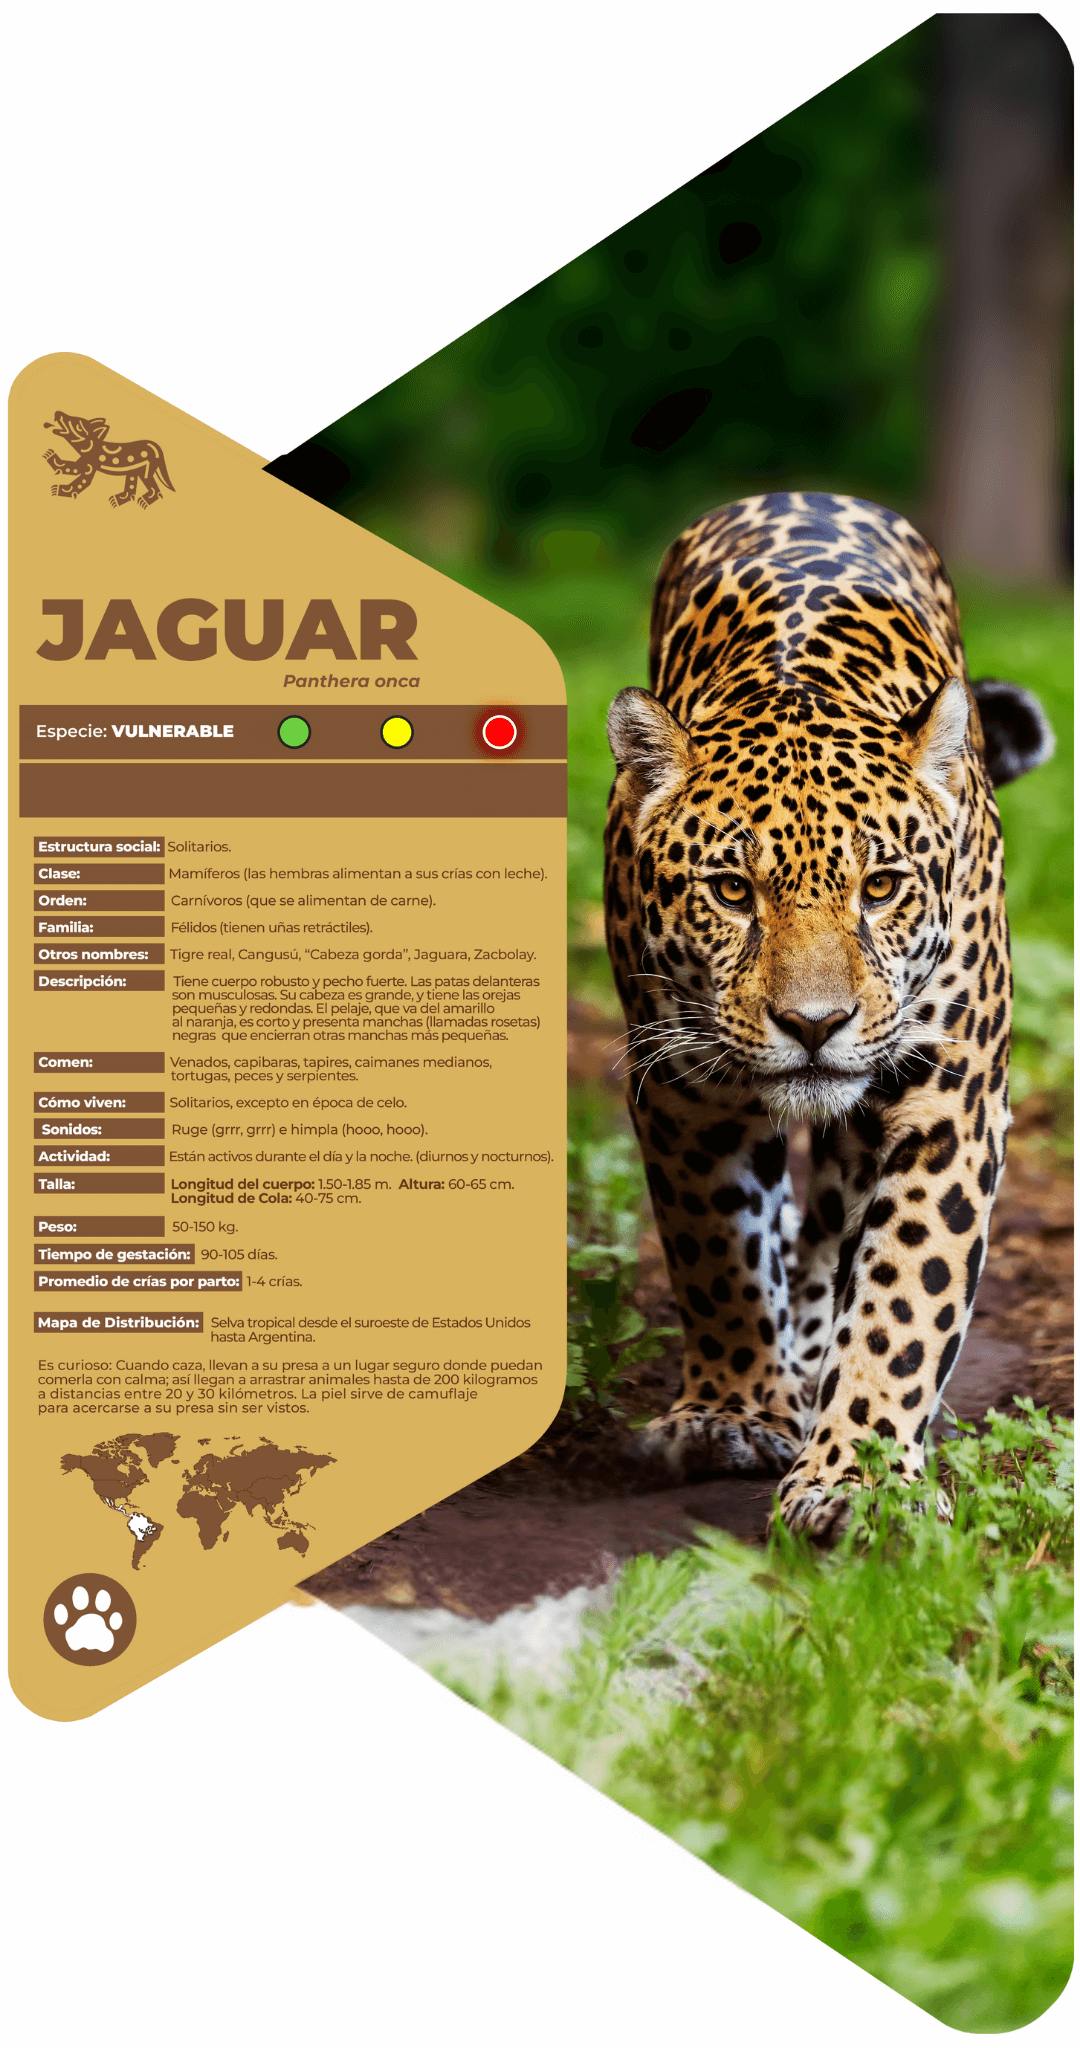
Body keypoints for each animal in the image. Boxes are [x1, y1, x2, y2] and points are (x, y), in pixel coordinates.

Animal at [603, 490, 1054, 1540]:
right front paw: (730, 1413)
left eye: (880, 887)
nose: (815, 1024)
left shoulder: (948, 1101)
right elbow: (717, 1252)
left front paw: (862, 1476)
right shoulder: (684, 1092)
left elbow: (905, 1289)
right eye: (732, 891)